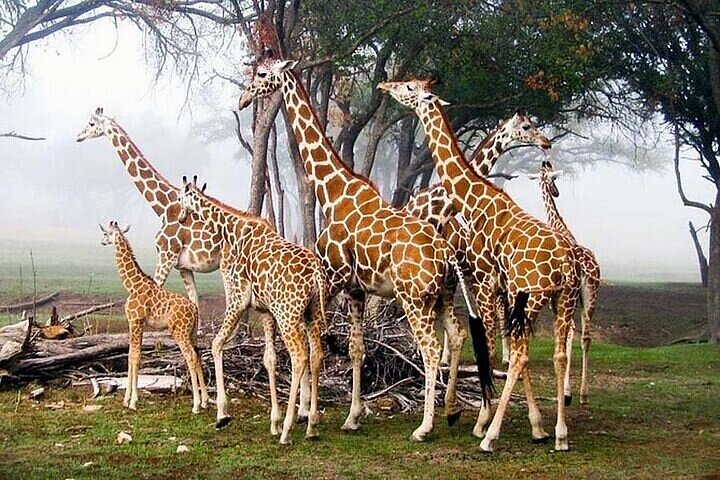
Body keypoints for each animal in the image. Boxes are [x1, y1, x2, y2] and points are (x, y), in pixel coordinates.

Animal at [76, 108, 222, 309]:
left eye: (91, 123)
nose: (78, 136)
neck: (164, 207)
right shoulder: (183, 266)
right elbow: (195, 302)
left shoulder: (166, 256)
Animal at [99, 221, 208, 413]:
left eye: (106, 233)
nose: (102, 242)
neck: (132, 285)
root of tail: (194, 309)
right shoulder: (135, 323)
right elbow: (131, 355)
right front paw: (126, 400)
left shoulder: (135, 321)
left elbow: (135, 357)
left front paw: (133, 401)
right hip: (192, 332)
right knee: (198, 355)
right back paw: (205, 401)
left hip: (179, 331)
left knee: (190, 356)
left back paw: (195, 405)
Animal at [178, 176, 327, 445]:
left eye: (178, 196)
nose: (182, 217)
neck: (233, 231)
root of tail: (316, 275)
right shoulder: (265, 311)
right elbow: (270, 359)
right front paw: (274, 422)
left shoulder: (238, 299)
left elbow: (216, 344)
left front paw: (222, 414)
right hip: (312, 314)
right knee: (316, 355)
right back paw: (311, 425)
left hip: (288, 315)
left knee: (300, 356)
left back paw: (288, 430)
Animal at [237, 52, 493, 442]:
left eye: (263, 74)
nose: (243, 99)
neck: (332, 191)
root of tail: (446, 251)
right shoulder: (356, 290)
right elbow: (356, 348)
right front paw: (352, 416)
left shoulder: (332, 278)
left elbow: (315, 344)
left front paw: (306, 414)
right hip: (443, 295)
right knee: (457, 335)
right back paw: (455, 412)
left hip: (415, 299)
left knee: (431, 348)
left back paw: (425, 426)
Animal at [528, 160, 601, 405]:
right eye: (553, 179)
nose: (556, 192)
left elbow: (565, 335)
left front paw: (565, 392)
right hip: (590, 298)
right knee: (586, 336)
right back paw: (584, 394)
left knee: (572, 333)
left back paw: (570, 393)